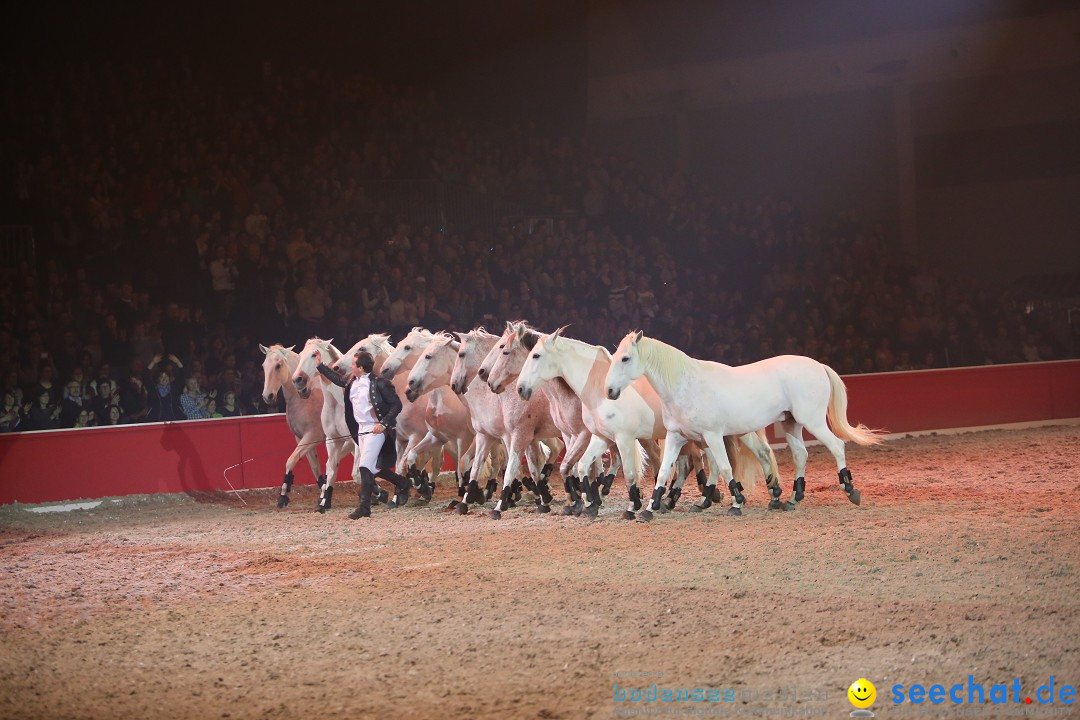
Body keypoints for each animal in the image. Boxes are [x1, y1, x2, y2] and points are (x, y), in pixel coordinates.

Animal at [259, 345, 326, 509]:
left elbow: (290, 460)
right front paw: (322, 494)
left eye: (278, 365)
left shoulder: (312, 437)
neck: (303, 399)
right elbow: (315, 467)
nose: (267, 396)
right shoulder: (302, 439)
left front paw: (282, 496)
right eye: (264, 366)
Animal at [291, 338, 358, 511]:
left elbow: (358, 471)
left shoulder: (355, 440)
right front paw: (324, 501)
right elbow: (331, 468)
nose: (297, 380)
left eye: (314, 354)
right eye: (300, 354)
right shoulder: (332, 440)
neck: (337, 405)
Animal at [514, 325, 777, 518]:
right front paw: (590, 505)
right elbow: (582, 466)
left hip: (730, 431)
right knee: (716, 462)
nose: (520, 388)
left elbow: (629, 472)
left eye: (536, 355)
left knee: (752, 455)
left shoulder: (622, 438)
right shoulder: (602, 437)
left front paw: (632, 507)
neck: (598, 390)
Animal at [604, 334, 881, 511]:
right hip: (792, 424)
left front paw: (736, 502)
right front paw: (650, 507)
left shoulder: (713, 436)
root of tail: (819, 365)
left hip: (812, 421)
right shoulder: (676, 436)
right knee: (800, 455)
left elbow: (725, 467)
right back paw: (793, 498)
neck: (685, 385)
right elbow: (663, 472)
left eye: (625, 358)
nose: (609, 391)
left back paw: (850, 489)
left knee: (836, 446)